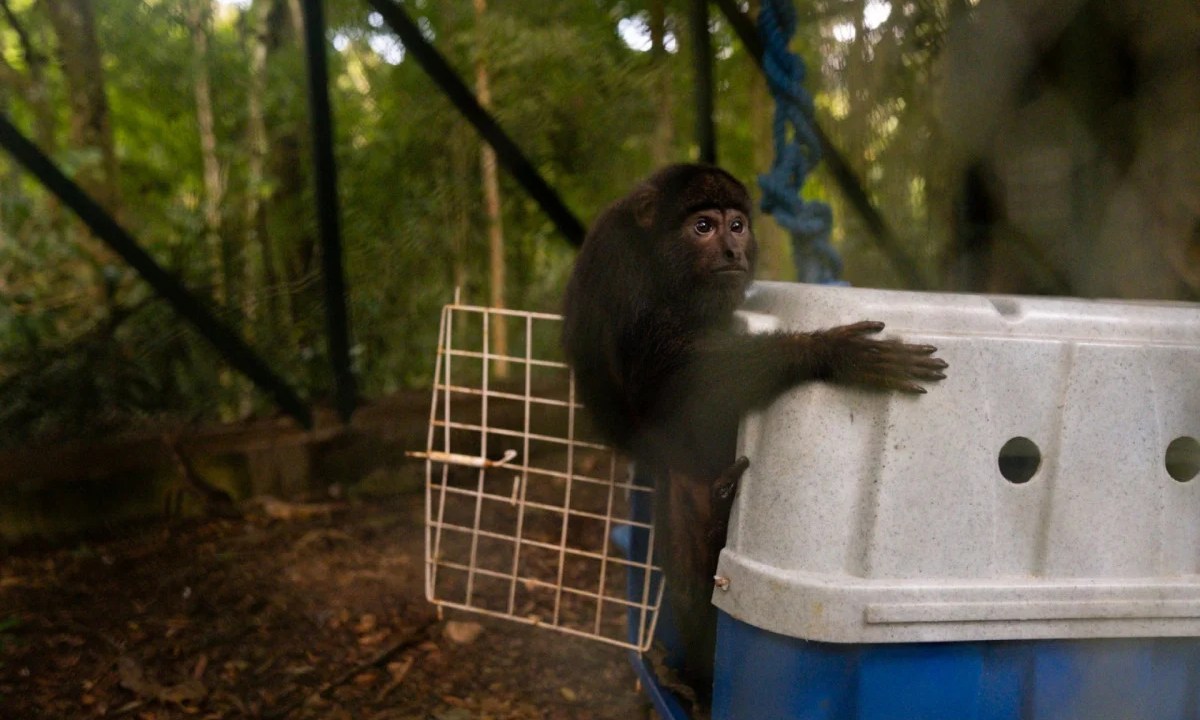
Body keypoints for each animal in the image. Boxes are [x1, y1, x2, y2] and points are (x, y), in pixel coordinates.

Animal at [561, 164, 945, 710]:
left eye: (737, 225)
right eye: (703, 227)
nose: (731, 251)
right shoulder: (626, 269)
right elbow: (671, 383)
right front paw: (826, 351)